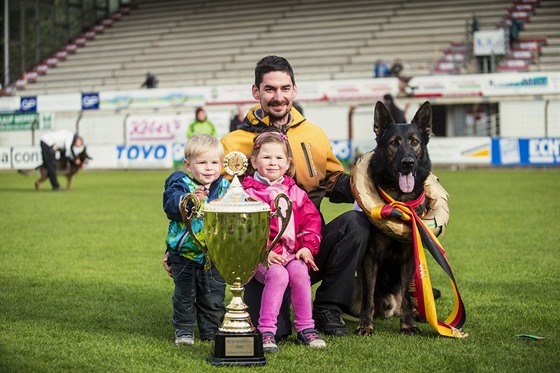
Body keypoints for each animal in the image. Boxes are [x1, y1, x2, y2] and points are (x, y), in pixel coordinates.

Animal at [354, 99, 434, 334]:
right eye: (393, 143)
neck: (400, 201)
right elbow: (368, 297)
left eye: (415, 142)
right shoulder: (370, 257)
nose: (408, 163)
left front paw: (407, 325)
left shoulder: (409, 258)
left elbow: (406, 297)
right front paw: (365, 325)